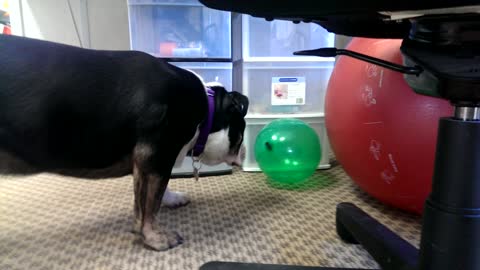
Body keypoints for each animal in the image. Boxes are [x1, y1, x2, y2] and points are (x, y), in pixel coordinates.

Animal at [0, 34, 248, 251]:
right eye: (242, 131)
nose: (244, 151)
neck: (207, 111)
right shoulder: (157, 153)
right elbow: (149, 206)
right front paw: (154, 237)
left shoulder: (150, 163)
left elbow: (156, 192)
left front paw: (172, 199)